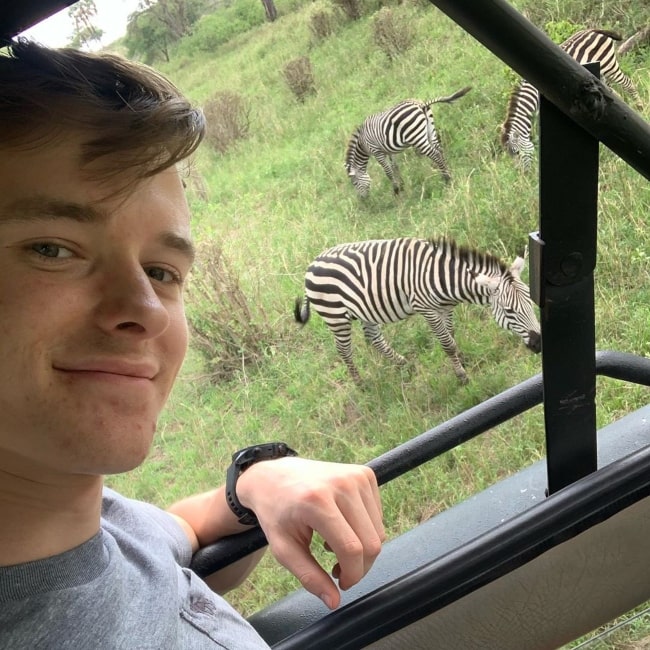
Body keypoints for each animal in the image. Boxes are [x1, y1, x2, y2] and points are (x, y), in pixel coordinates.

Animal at [292, 235, 536, 382]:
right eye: (510, 311)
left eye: (532, 302)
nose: (539, 343)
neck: (445, 278)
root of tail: (310, 266)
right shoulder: (426, 309)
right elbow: (447, 343)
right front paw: (461, 375)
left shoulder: (446, 308)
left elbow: (452, 336)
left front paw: (461, 358)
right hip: (335, 316)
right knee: (344, 350)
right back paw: (361, 384)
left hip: (363, 310)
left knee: (373, 338)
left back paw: (403, 364)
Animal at [498, 28, 640, 168]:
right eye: (511, 156)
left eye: (517, 153)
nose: (524, 173)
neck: (532, 96)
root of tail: (593, 30)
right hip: (602, 73)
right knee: (615, 94)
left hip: (609, 65)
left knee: (629, 84)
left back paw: (640, 107)